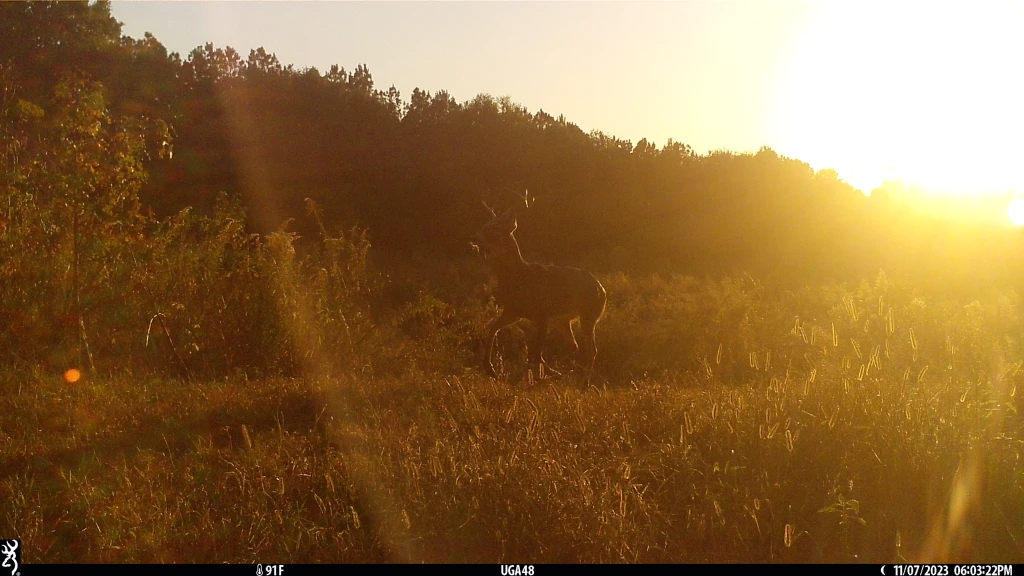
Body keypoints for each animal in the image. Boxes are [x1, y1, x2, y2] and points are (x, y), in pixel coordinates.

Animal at [472, 189, 607, 382]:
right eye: (484, 225)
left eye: (495, 229)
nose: (473, 238)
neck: (519, 277)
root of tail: (601, 289)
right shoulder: (513, 311)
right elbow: (492, 328)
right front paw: (489, 369)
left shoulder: (542, 313)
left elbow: (537, 350)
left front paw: (535, 377)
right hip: (563, 319)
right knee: (573, 345)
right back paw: (557, 372)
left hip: (589, 314)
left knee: (591, 350)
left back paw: (582, 381)